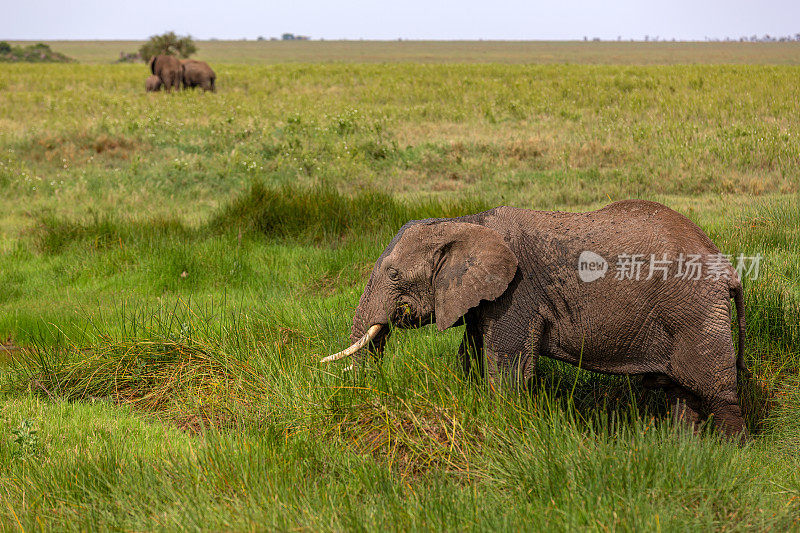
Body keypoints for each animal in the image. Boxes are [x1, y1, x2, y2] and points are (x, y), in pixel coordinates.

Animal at [320, 201, 752, 440]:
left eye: (393, 274)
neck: (467, 221)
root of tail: (728, 269)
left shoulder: (517, 292)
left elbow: (507, 367)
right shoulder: (485, 298)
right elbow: (471, 355)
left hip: (694, 309)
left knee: (714, 389)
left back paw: (734, 455)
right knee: (683, 391)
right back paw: (685, 449)